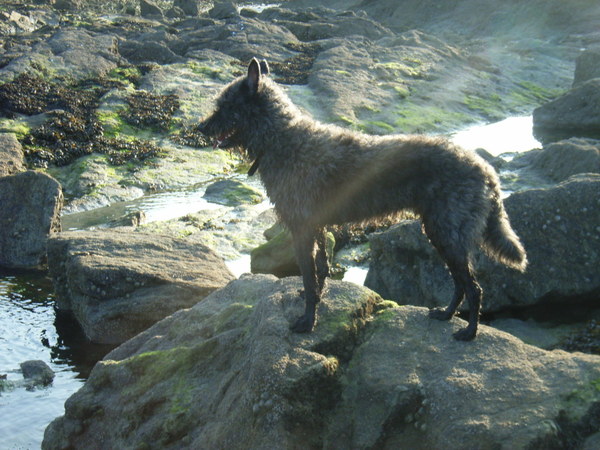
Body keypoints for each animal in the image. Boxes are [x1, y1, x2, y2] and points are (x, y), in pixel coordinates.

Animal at [199, 57, 528, 342]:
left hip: (448, 235)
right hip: (442, 234)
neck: (282, 138)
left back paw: (469, 332)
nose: (200, 127)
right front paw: (314, 300)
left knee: (473, 288)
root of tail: (485, 169)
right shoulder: (316, 227)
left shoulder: (302, 229)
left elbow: (308, 275)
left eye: (226, 106)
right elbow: (320, 271)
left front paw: (307, 321)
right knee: (461, 283)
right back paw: (446, 315)